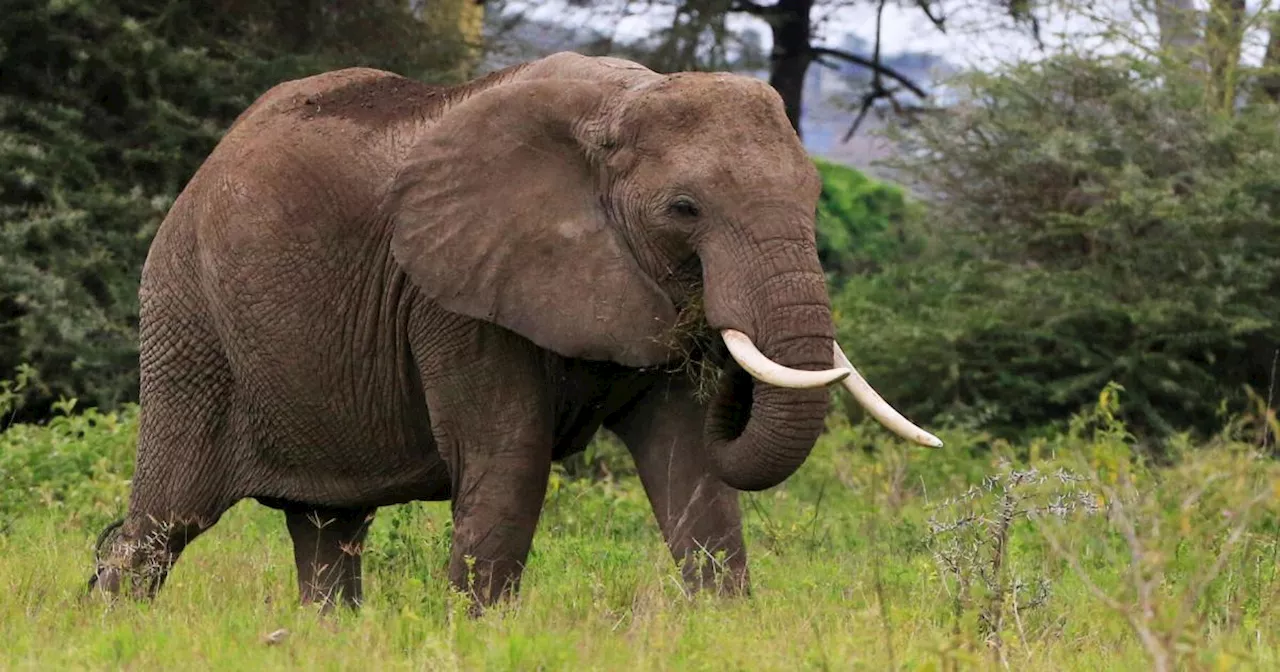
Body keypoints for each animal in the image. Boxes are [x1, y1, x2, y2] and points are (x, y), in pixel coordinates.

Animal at [82, 51, 942, 606]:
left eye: (815, 194)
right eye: (684, 210)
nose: (721, 341)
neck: (616, 107)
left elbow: (691, 466)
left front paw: (725, 627)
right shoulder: (453, 296)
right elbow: (510, 461)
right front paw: (476, 632)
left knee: (327, 533)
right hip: (189, 324)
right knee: (165, 520)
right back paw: (110, 621)